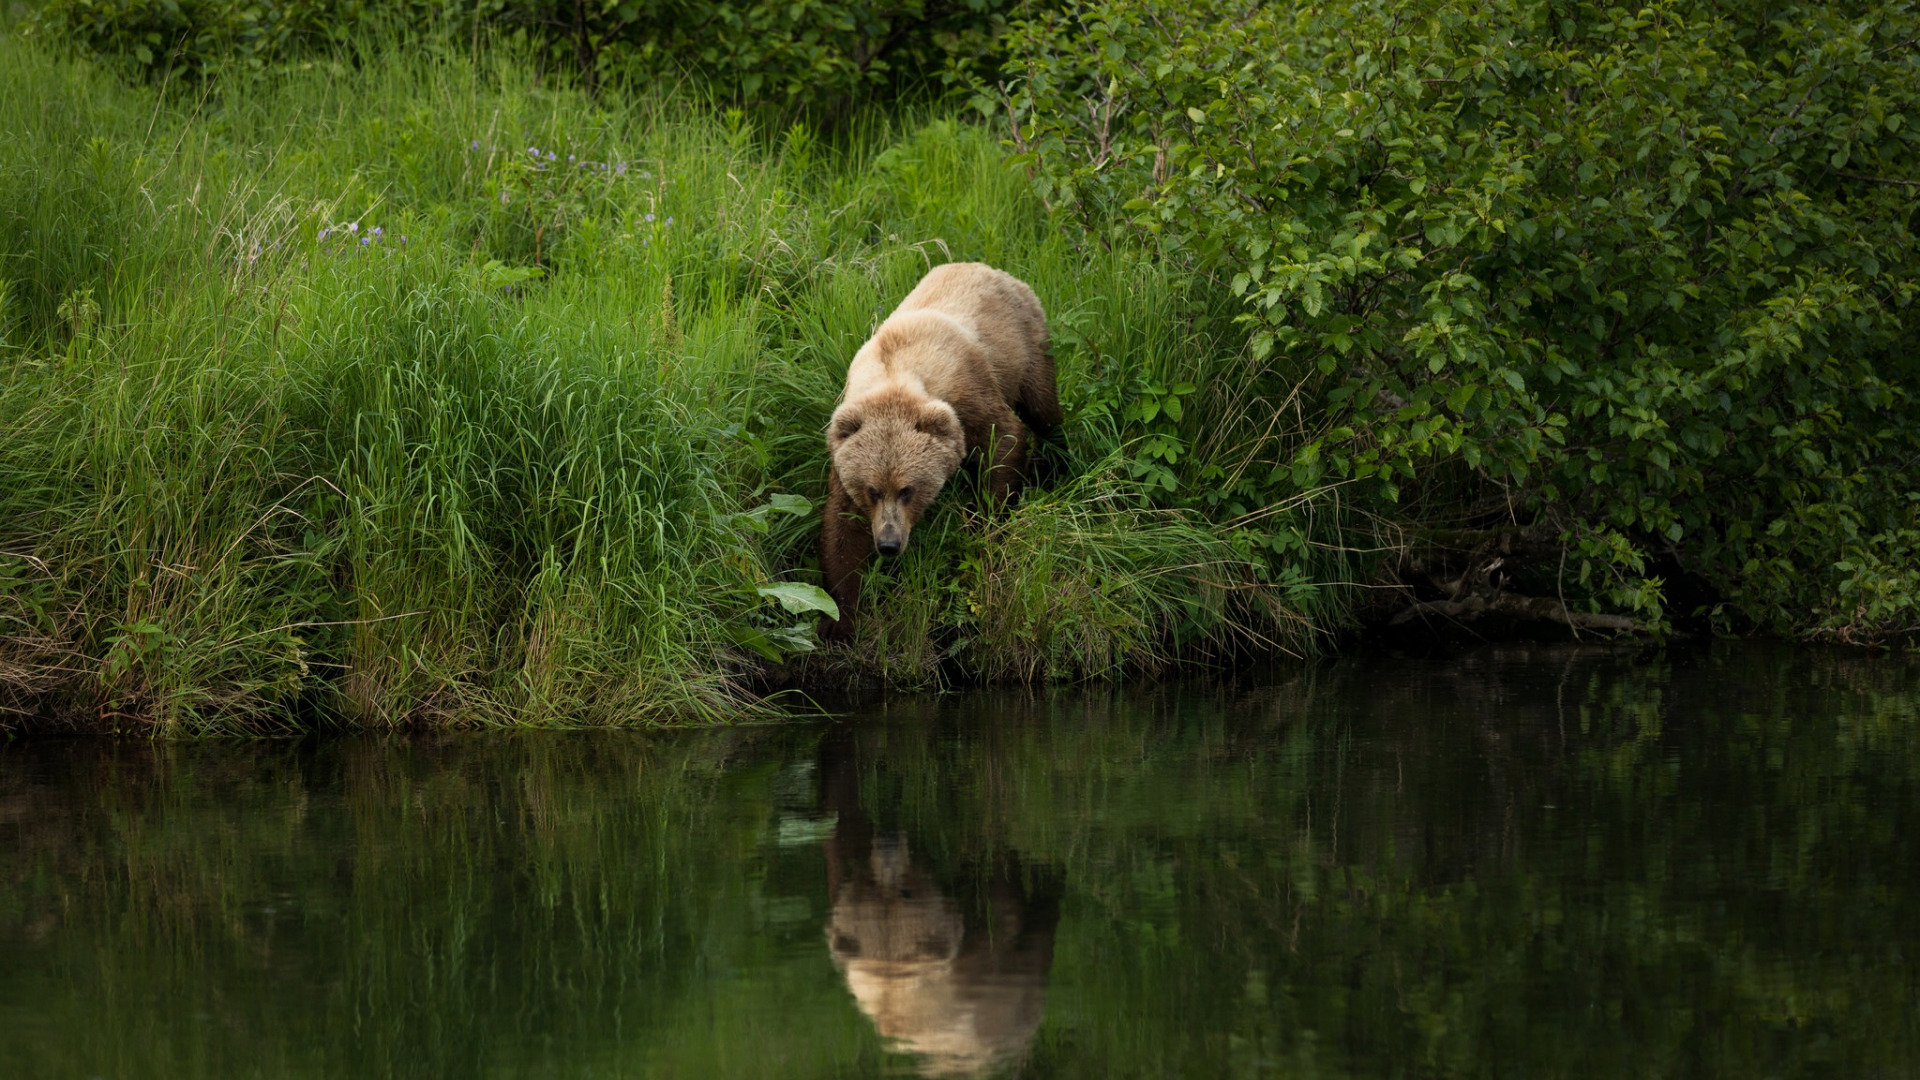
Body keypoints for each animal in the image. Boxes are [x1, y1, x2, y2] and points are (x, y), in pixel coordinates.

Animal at [821, 261, 1067, 638]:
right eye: (872, 490)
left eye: (907, 489)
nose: (889, 544)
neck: (897, 377)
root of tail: (992, 268)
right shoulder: (846, 439)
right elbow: (842, 529)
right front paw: (839, 619)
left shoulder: (966, 394)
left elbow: (1004, 439)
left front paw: (985, 523)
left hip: (1027, 343)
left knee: (1044, 409)